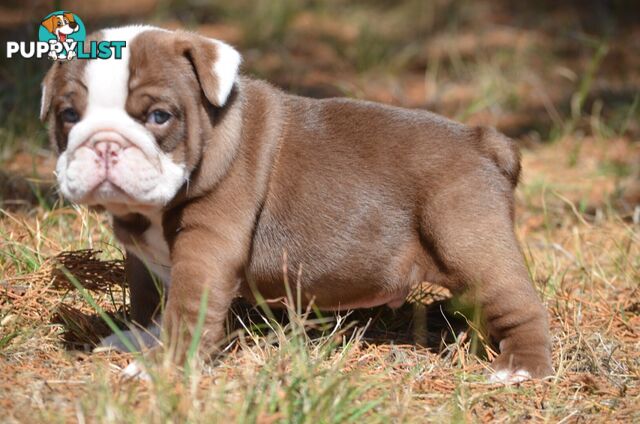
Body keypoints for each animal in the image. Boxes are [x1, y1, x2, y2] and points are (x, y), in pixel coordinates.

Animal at [40, 24, 552, 382]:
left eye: (160, 116)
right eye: (68, 115)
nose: (105, 144)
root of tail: (481, 139)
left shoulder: (206, 246)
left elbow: (187, 305)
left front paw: (163, 365)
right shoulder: (142, 253)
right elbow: (149, 294)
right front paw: (140, 336)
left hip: (469, 240)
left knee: (518, 302)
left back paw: (520, 368)